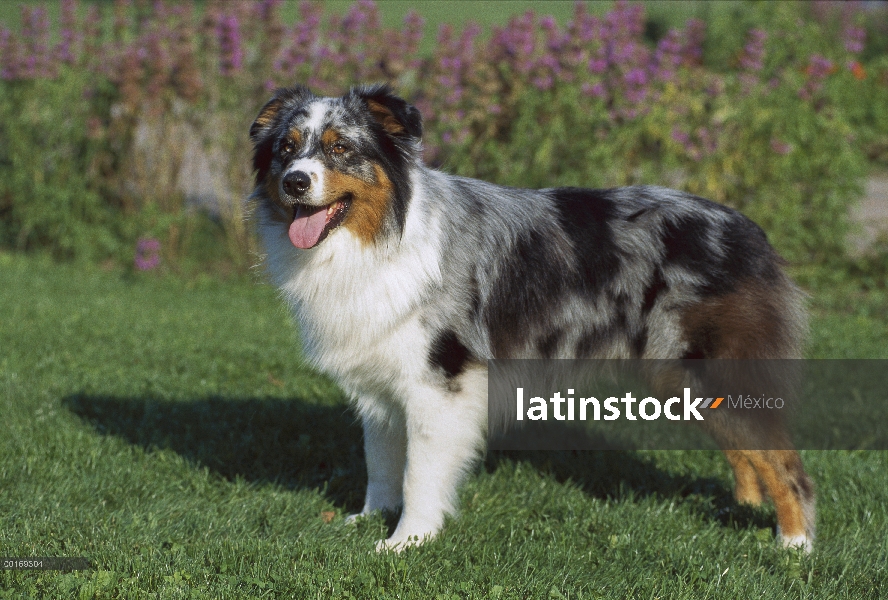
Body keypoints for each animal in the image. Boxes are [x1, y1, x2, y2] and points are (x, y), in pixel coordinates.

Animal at [246, 84, 816, 552]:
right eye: (286, 149)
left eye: (341, 148)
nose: (296, 182)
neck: (378, 238)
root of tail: (747, 227)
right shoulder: (380, 380)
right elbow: (381, 461)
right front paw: (368, 519)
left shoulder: (440, 381)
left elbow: (418, 472)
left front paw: (406, 542)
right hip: (682, 377)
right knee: (747, 450)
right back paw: (747, 508)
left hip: (713, 366)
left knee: (787, 464)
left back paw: (794, 546)